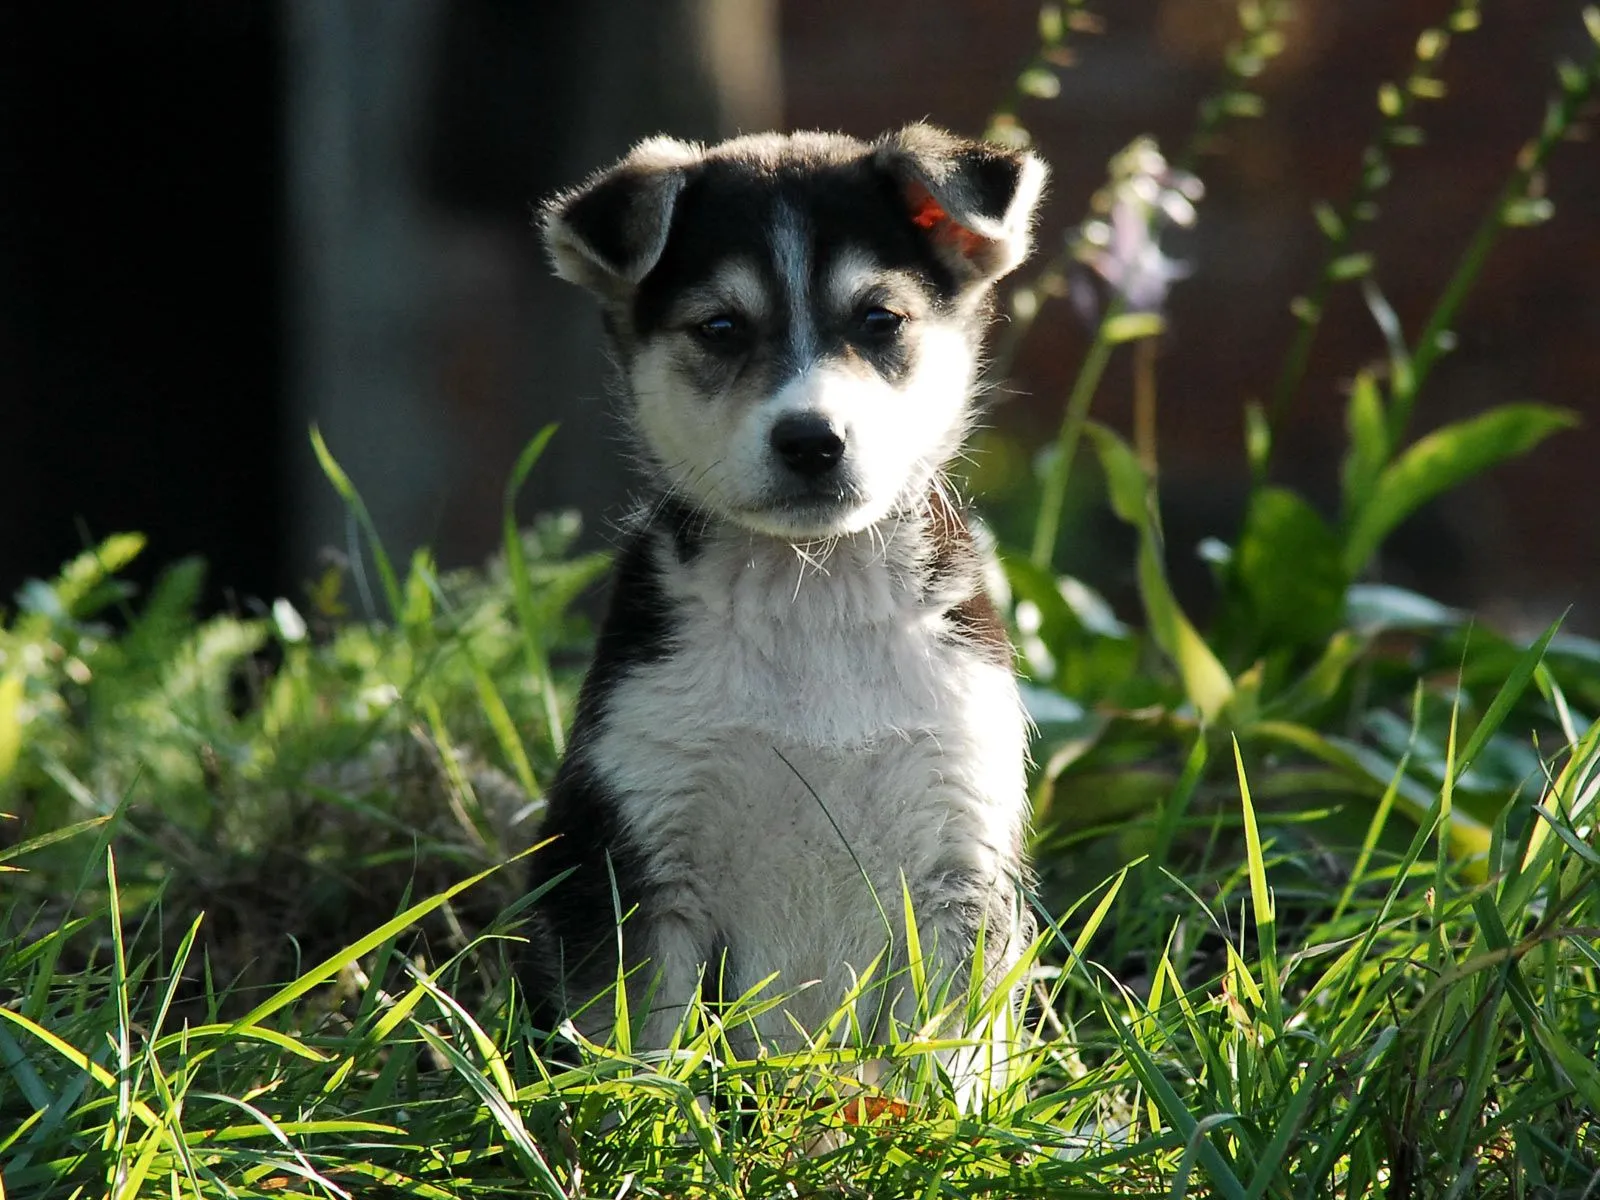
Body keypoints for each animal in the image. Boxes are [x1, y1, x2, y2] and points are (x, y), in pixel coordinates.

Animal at [528, 124, 1049, 1081]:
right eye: (721, 328)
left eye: (880, 320)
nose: (812, 439)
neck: (815, 595)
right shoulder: (639, 855)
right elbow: (636, 1052)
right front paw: (636, 1121)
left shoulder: (958, 858)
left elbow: (949, 1061)